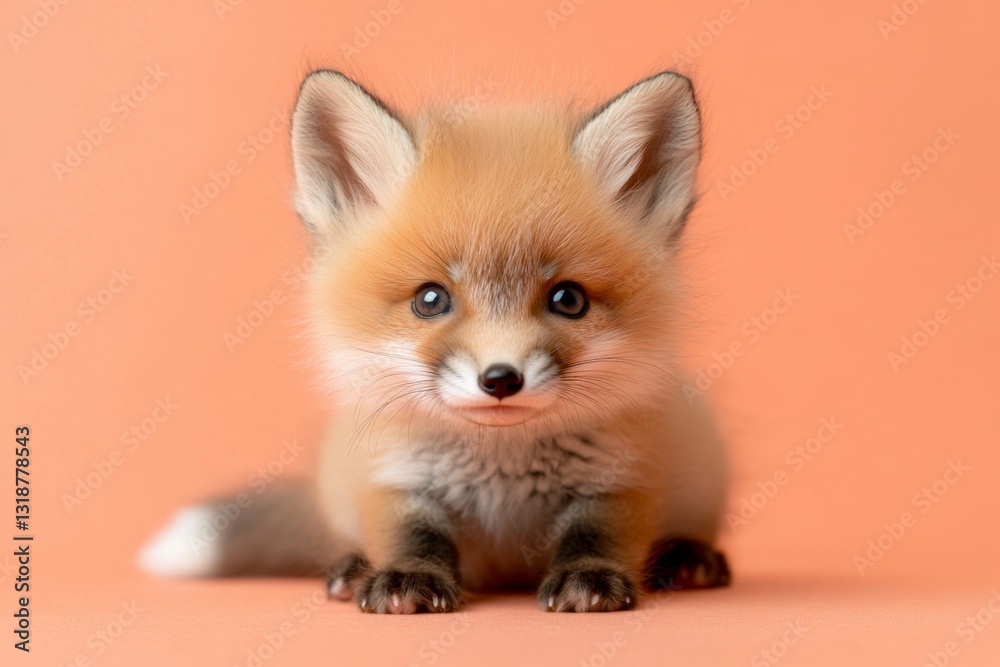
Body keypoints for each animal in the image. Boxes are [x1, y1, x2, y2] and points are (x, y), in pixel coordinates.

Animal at [139, 69, 731, 613]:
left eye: (569, 300)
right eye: (430, 299)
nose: (501, 380)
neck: (502, 469)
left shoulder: (622, 472)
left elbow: (600, 532)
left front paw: (590, 575)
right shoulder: (393, 471)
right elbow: (410, 533)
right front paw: (406, 577)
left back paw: (688, 558)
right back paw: (351, 567)